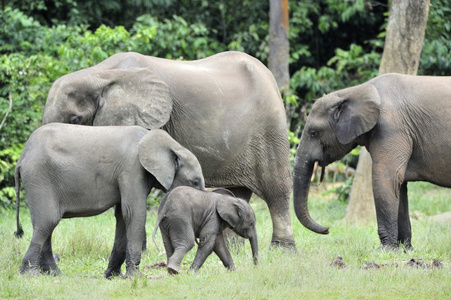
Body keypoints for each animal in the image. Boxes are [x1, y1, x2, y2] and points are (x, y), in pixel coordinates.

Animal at [14, 123, 205, 278]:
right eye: (195, 181)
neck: (173, 145)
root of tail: (22, 157)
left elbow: (122, 216)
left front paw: (112, 276)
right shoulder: (132, 169)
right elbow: (134, 212)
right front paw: (136, 277)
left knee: (45, 224)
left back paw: (54, 274)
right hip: (40, 178)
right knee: (48, 222)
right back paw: (30, 275)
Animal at [41, 52, 296, 251]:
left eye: (75, 119)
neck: (98, 76)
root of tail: (269, 76)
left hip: (270, 128)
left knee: (276, 188)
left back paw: (283, 250)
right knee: (238, 193)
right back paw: (235, 247)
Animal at [294, 74, 451, 250]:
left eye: (313, 133)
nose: (328, 229)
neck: (355, 91)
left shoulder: (391, 128)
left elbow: (386, 179)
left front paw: (385, 250)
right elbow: (399, 185)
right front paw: (404, 250)